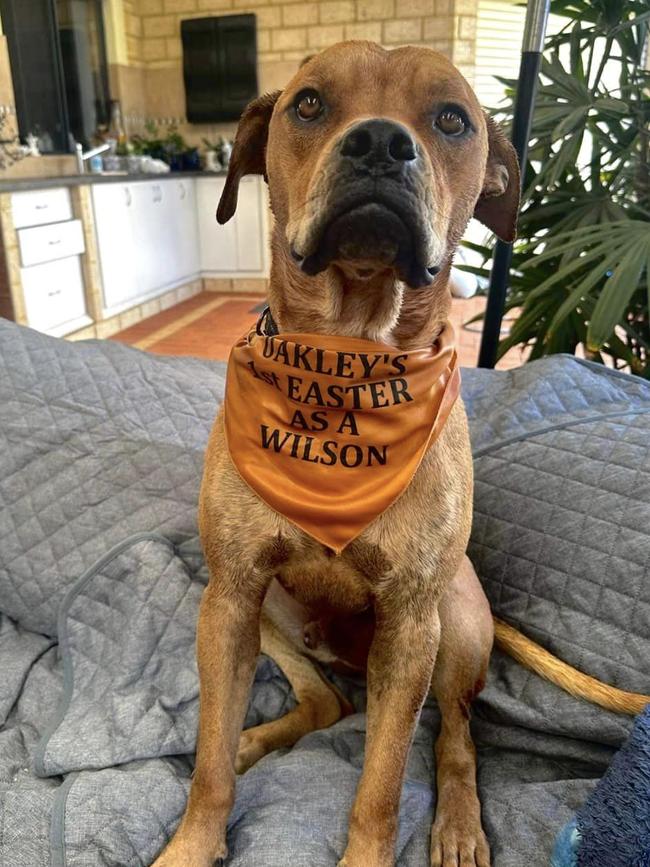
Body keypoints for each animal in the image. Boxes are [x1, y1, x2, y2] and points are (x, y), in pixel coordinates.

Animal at [152, 40, 644, 867]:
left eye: (451, 119)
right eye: (309, 103)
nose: (381, 143)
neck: (346, 362)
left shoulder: (414, 625)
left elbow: (381, 785)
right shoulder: (230, 597)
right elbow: (209, 761)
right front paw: (194, 839)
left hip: (453, 623)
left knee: (457, 734)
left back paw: (458, 824)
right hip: (257, 612)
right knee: (326, 700)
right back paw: (260, 738)